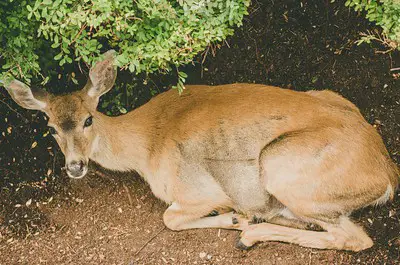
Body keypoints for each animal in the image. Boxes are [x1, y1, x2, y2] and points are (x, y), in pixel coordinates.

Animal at [4, 49, 398, 250]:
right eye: (51, 127)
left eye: (88, 119)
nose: (75, 166)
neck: (147, 142)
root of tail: (388, 174)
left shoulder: (198, 190)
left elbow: (170, 218)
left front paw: (233, 218)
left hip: (281, 166)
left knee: (355, 238)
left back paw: (250, 231)